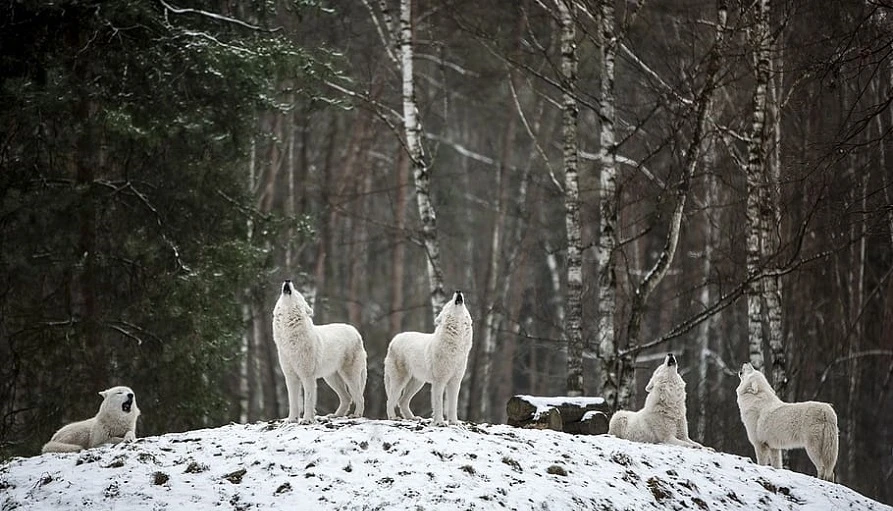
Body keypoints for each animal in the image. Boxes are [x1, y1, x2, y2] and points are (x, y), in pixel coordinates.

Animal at [272, 280, 367, 424]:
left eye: (298, 294)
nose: (287, 280)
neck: (289, 338)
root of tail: (356, 332)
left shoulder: (308, 377)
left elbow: (308, 400)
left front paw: (306, 420)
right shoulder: (290, 377)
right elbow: (293, 402)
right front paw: (292, 420)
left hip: (349, 376)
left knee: (359, 397)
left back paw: (356, 415)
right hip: (331, 378)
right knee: (347, 397)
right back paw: (335, 415)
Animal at [384, 290, 473, 426]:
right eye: (448, 304)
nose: (458, 291)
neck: (456, 346)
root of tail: (395, 339)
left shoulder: (455, 382)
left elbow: (453, 405)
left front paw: (454, 422)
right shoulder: (439, 382)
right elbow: (438, 404)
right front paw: (440, 422)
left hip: (417, 383)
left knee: (402, 401)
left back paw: (412, 418)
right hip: (400, 381)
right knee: (390, 400)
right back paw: (393, 418)